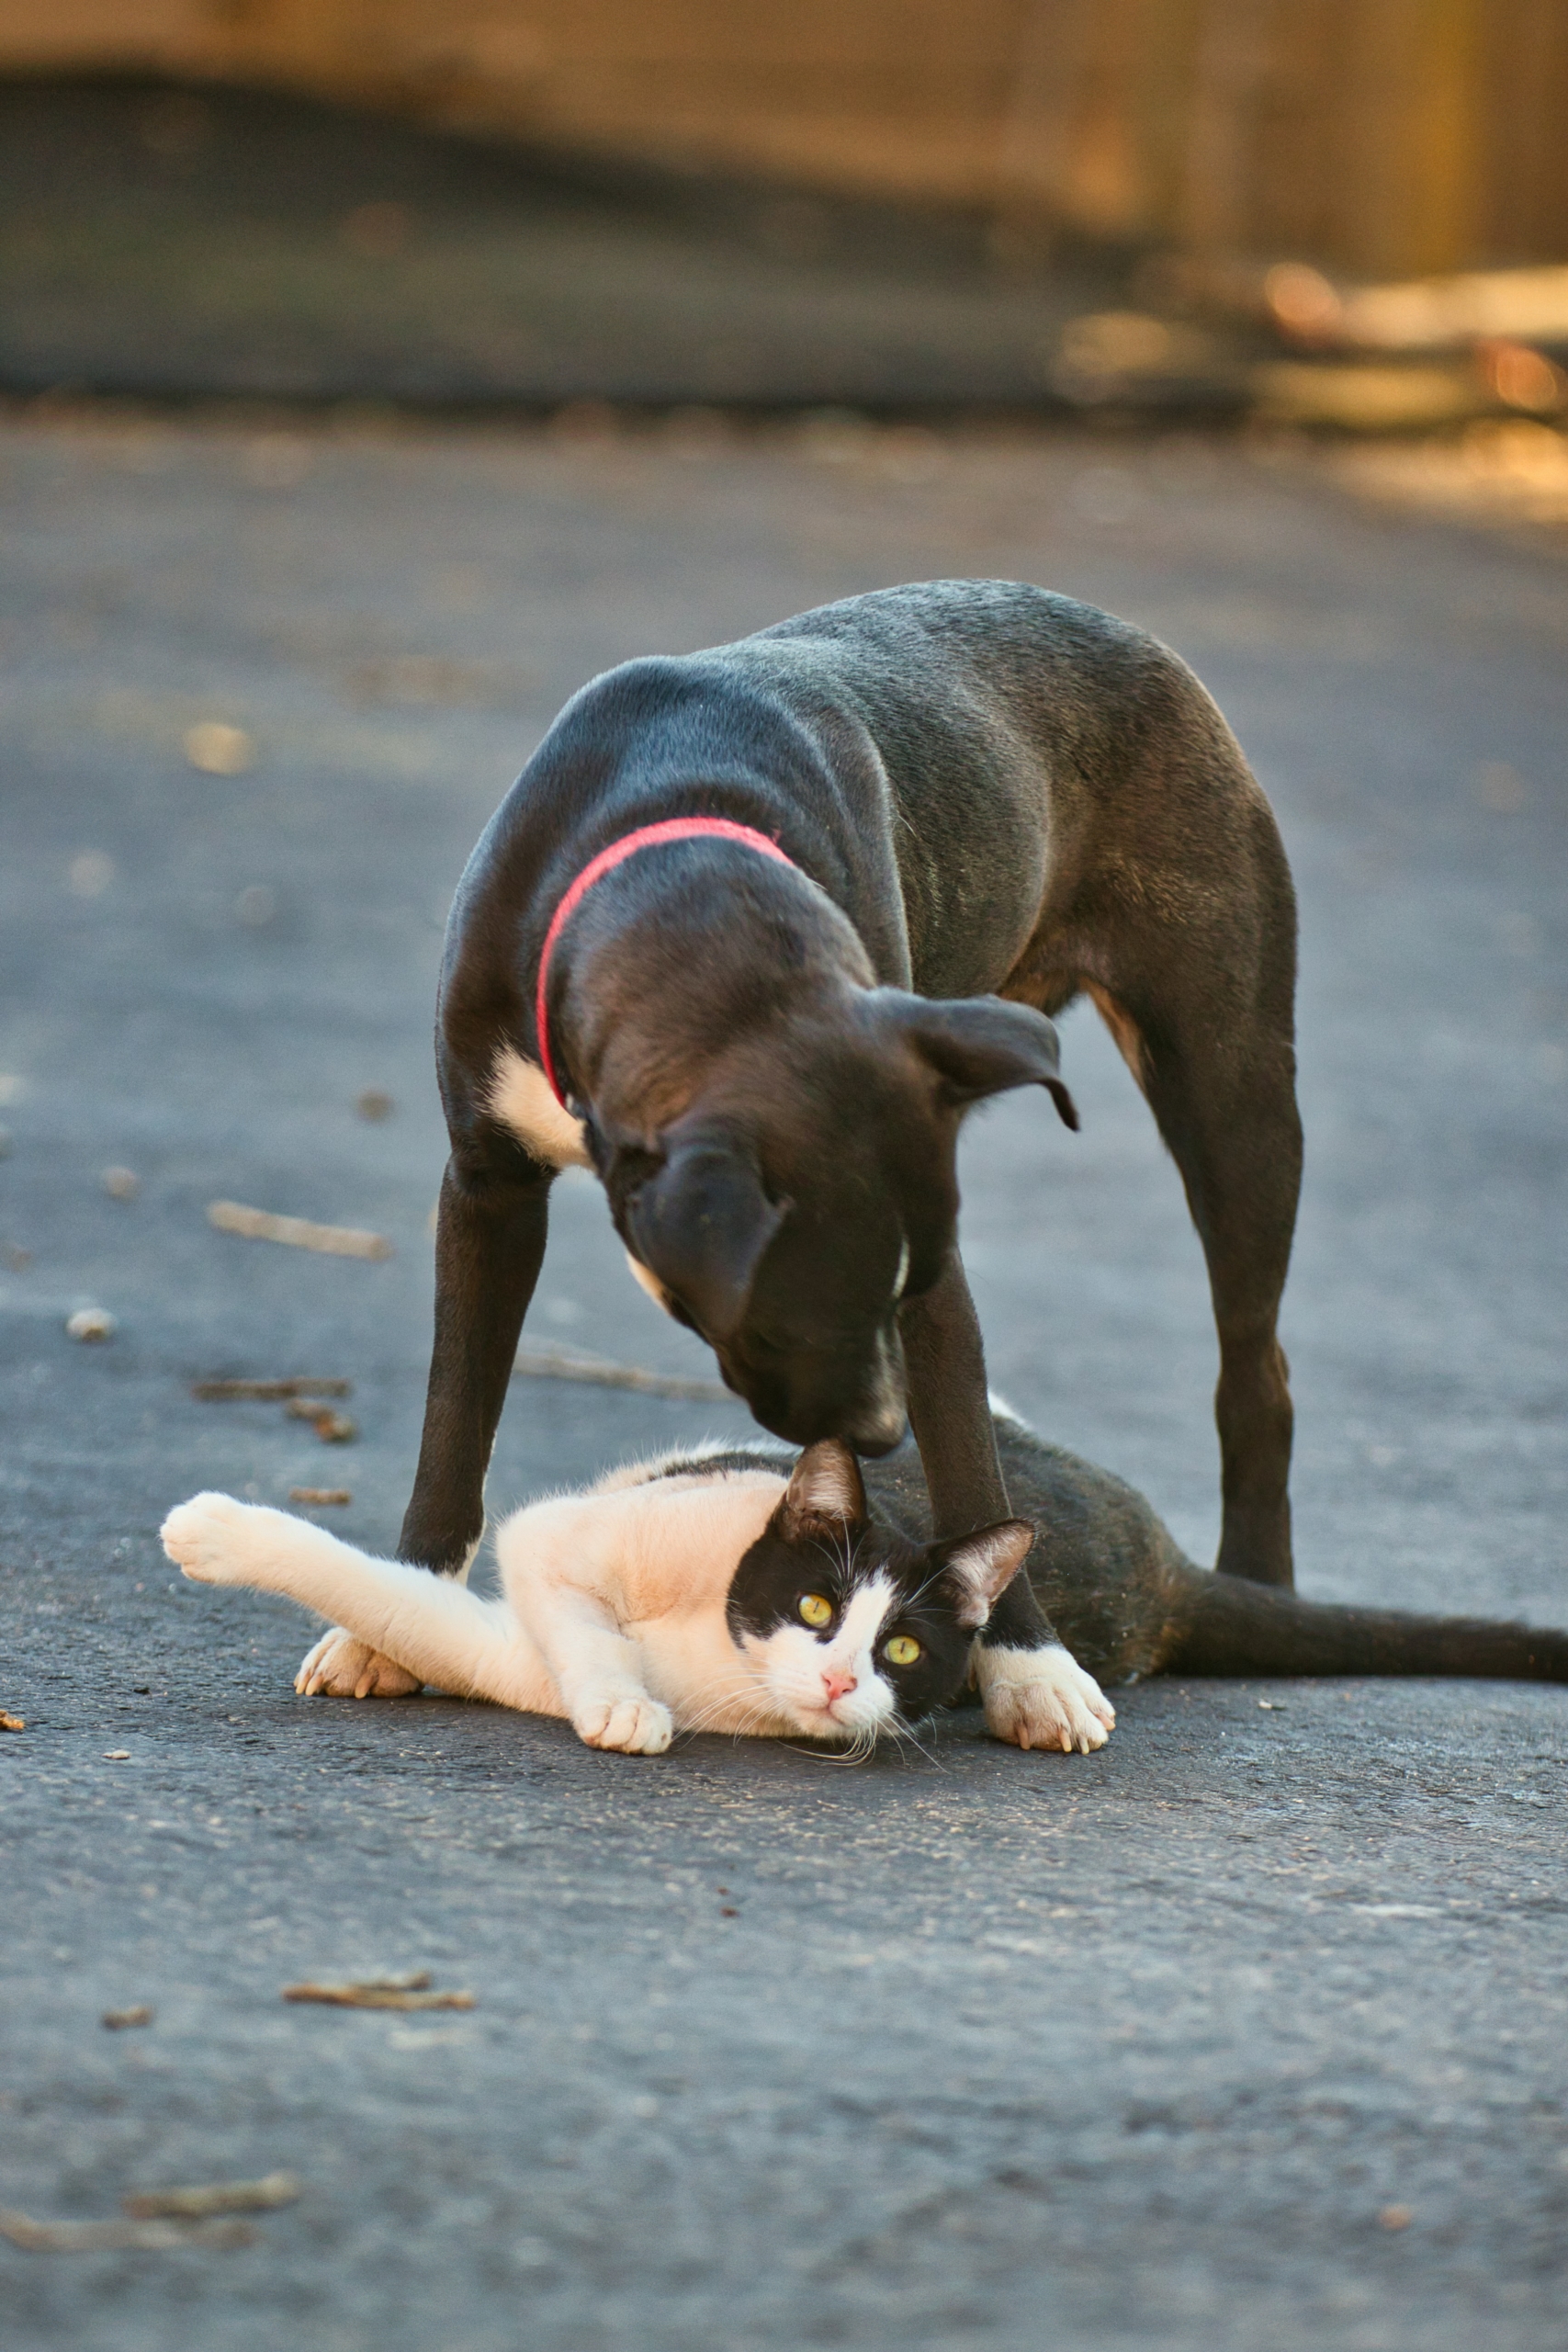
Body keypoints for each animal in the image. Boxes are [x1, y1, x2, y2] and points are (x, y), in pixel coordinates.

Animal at [160, 1401, 1568, 1758]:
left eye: (900, 1653)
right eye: (819, 1607)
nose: (840, 1681)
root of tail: (1166, 1564)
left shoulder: (521, 1637)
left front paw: (617, 1704)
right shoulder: (554, 1542)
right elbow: (542, 1588)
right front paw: (205, 1527)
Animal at [371, 588, 1297, 1758]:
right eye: (786, 1319)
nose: (880, 1438)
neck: (685, 901)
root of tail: (1123, 630)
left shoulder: (934, 1264)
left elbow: (969, 1455)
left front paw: (1030, 1667)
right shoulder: (486, 1187)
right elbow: (457, 1415)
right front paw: (395, 1611)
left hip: (1234, 1092)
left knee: (1256, 1366)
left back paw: (1265, 1583)